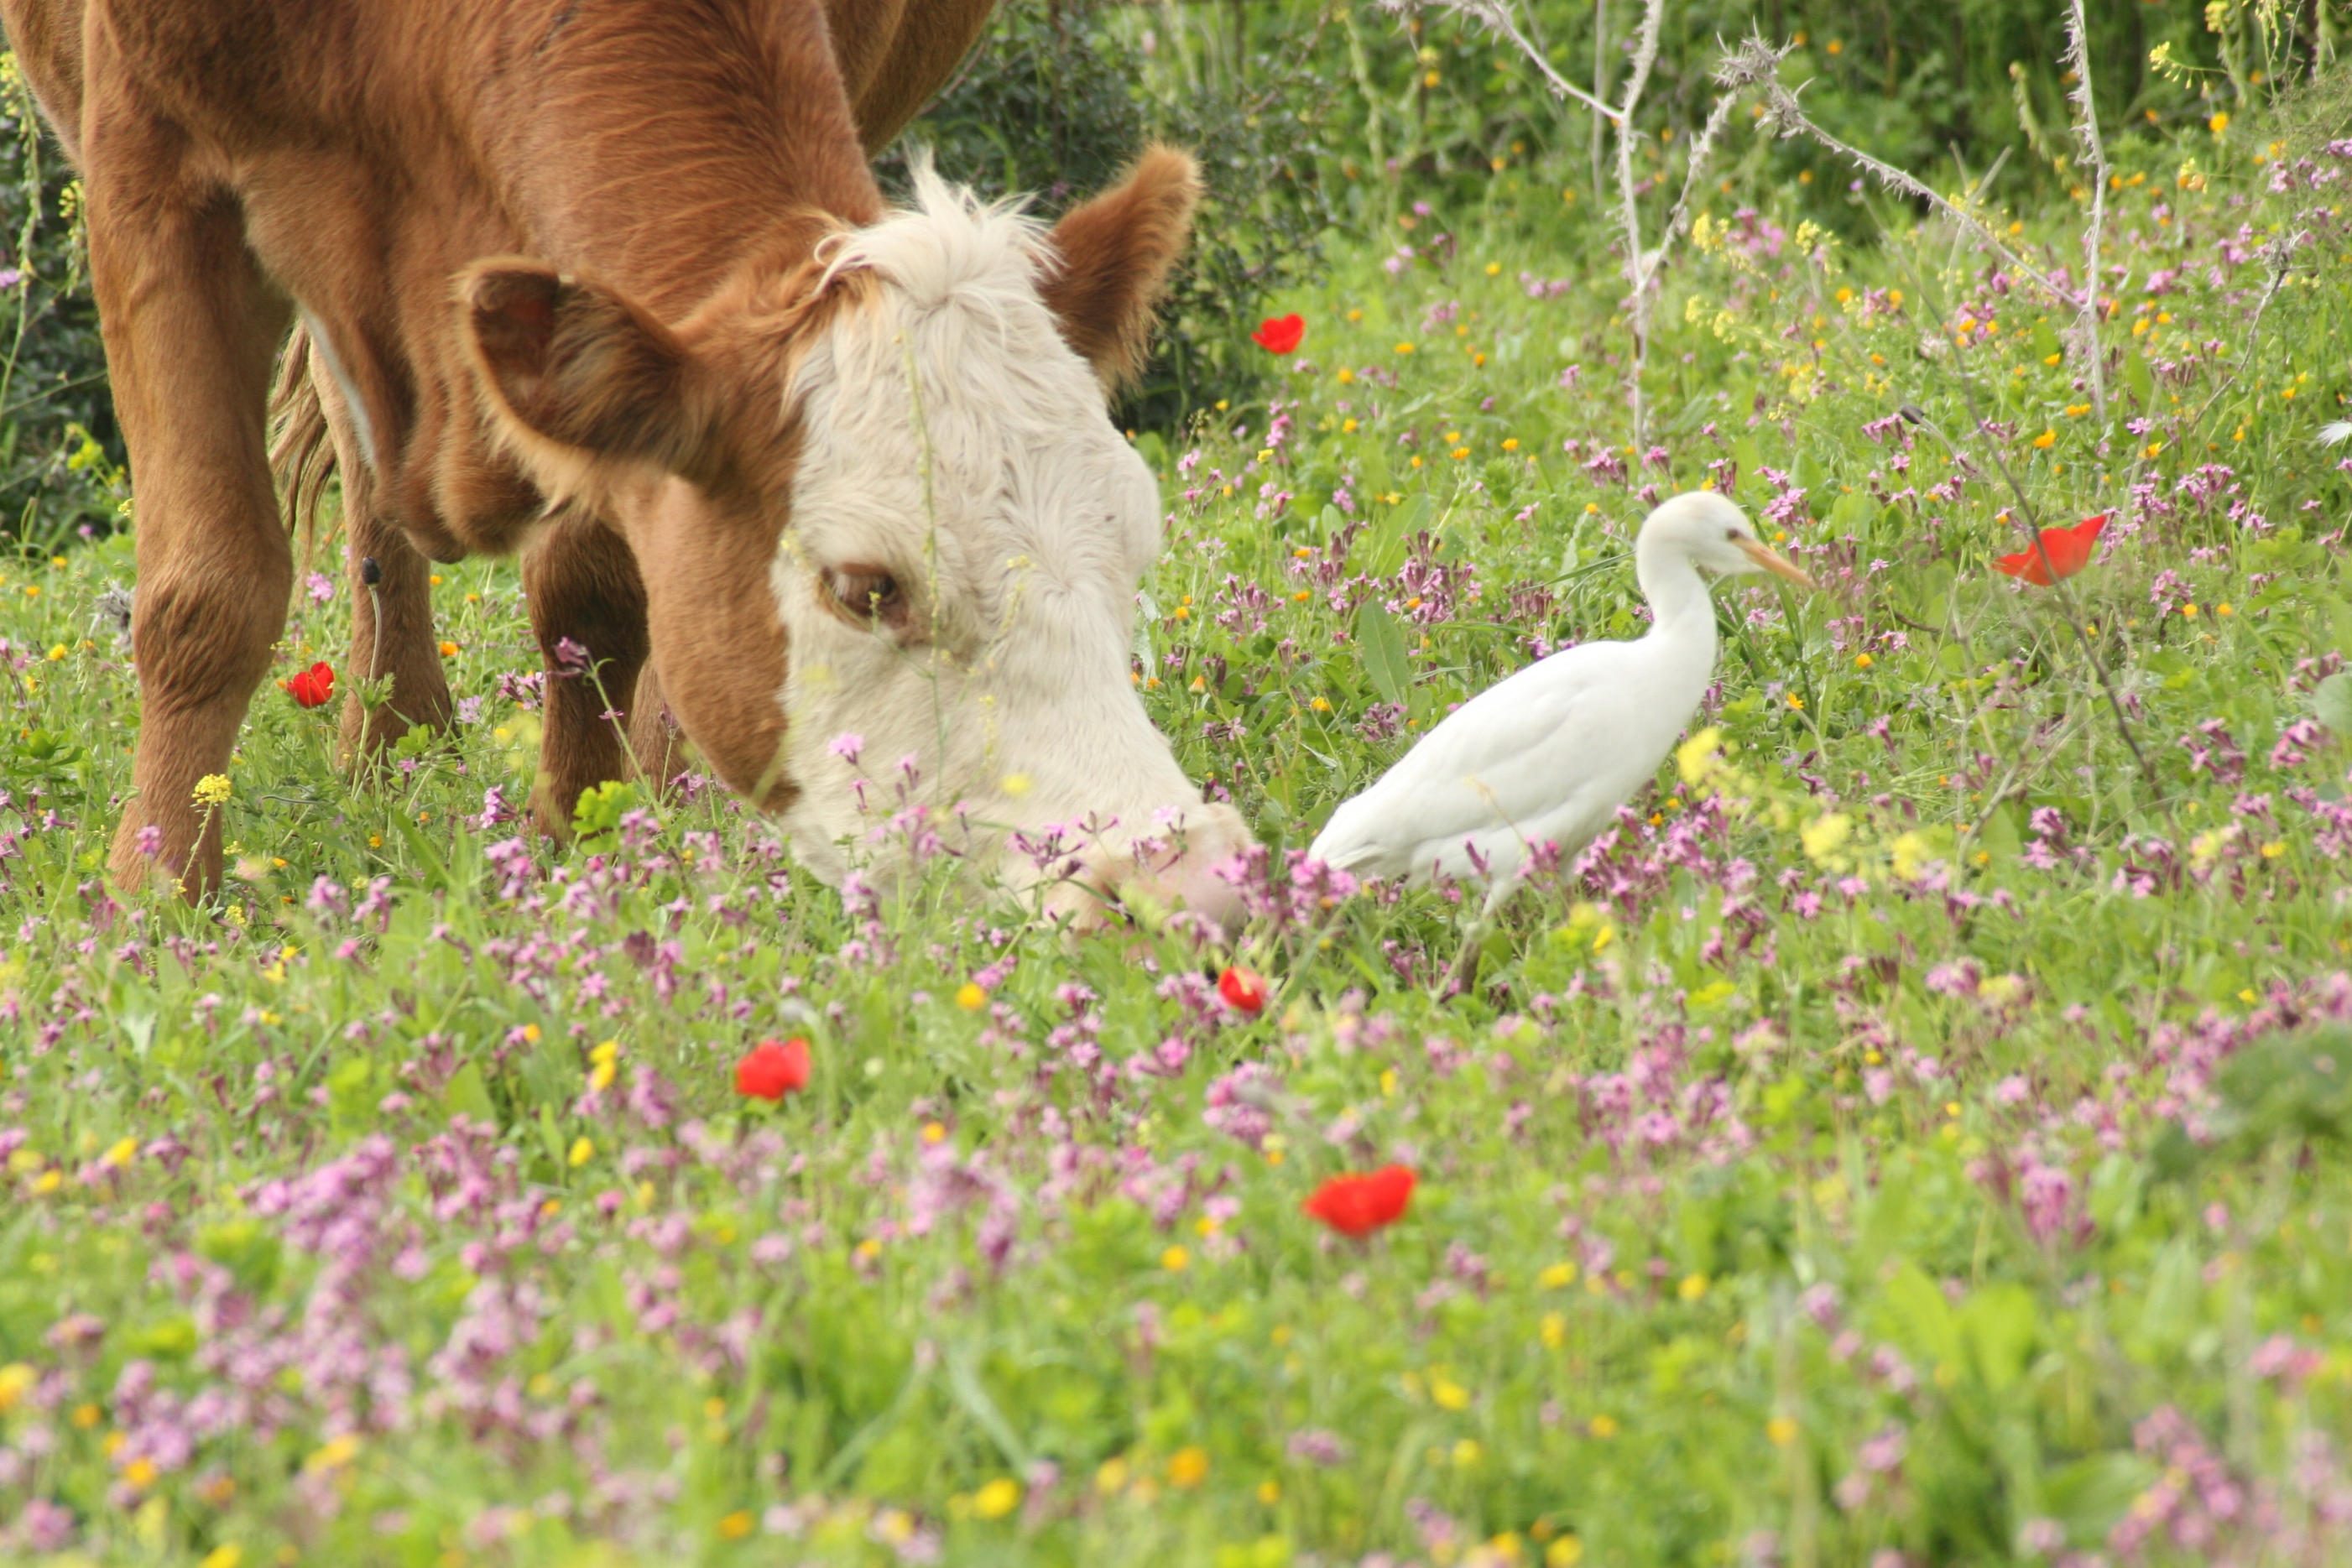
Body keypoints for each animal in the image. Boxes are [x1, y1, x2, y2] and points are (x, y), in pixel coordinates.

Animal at [8, 0, 1260, 926]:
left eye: (1132, 553)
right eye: (866, 588)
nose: (1188, 883)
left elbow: (594, 583)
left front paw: (583, 847)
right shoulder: (145, 160)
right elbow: (206, 591)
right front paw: (157, 898)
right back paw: (391, 743)